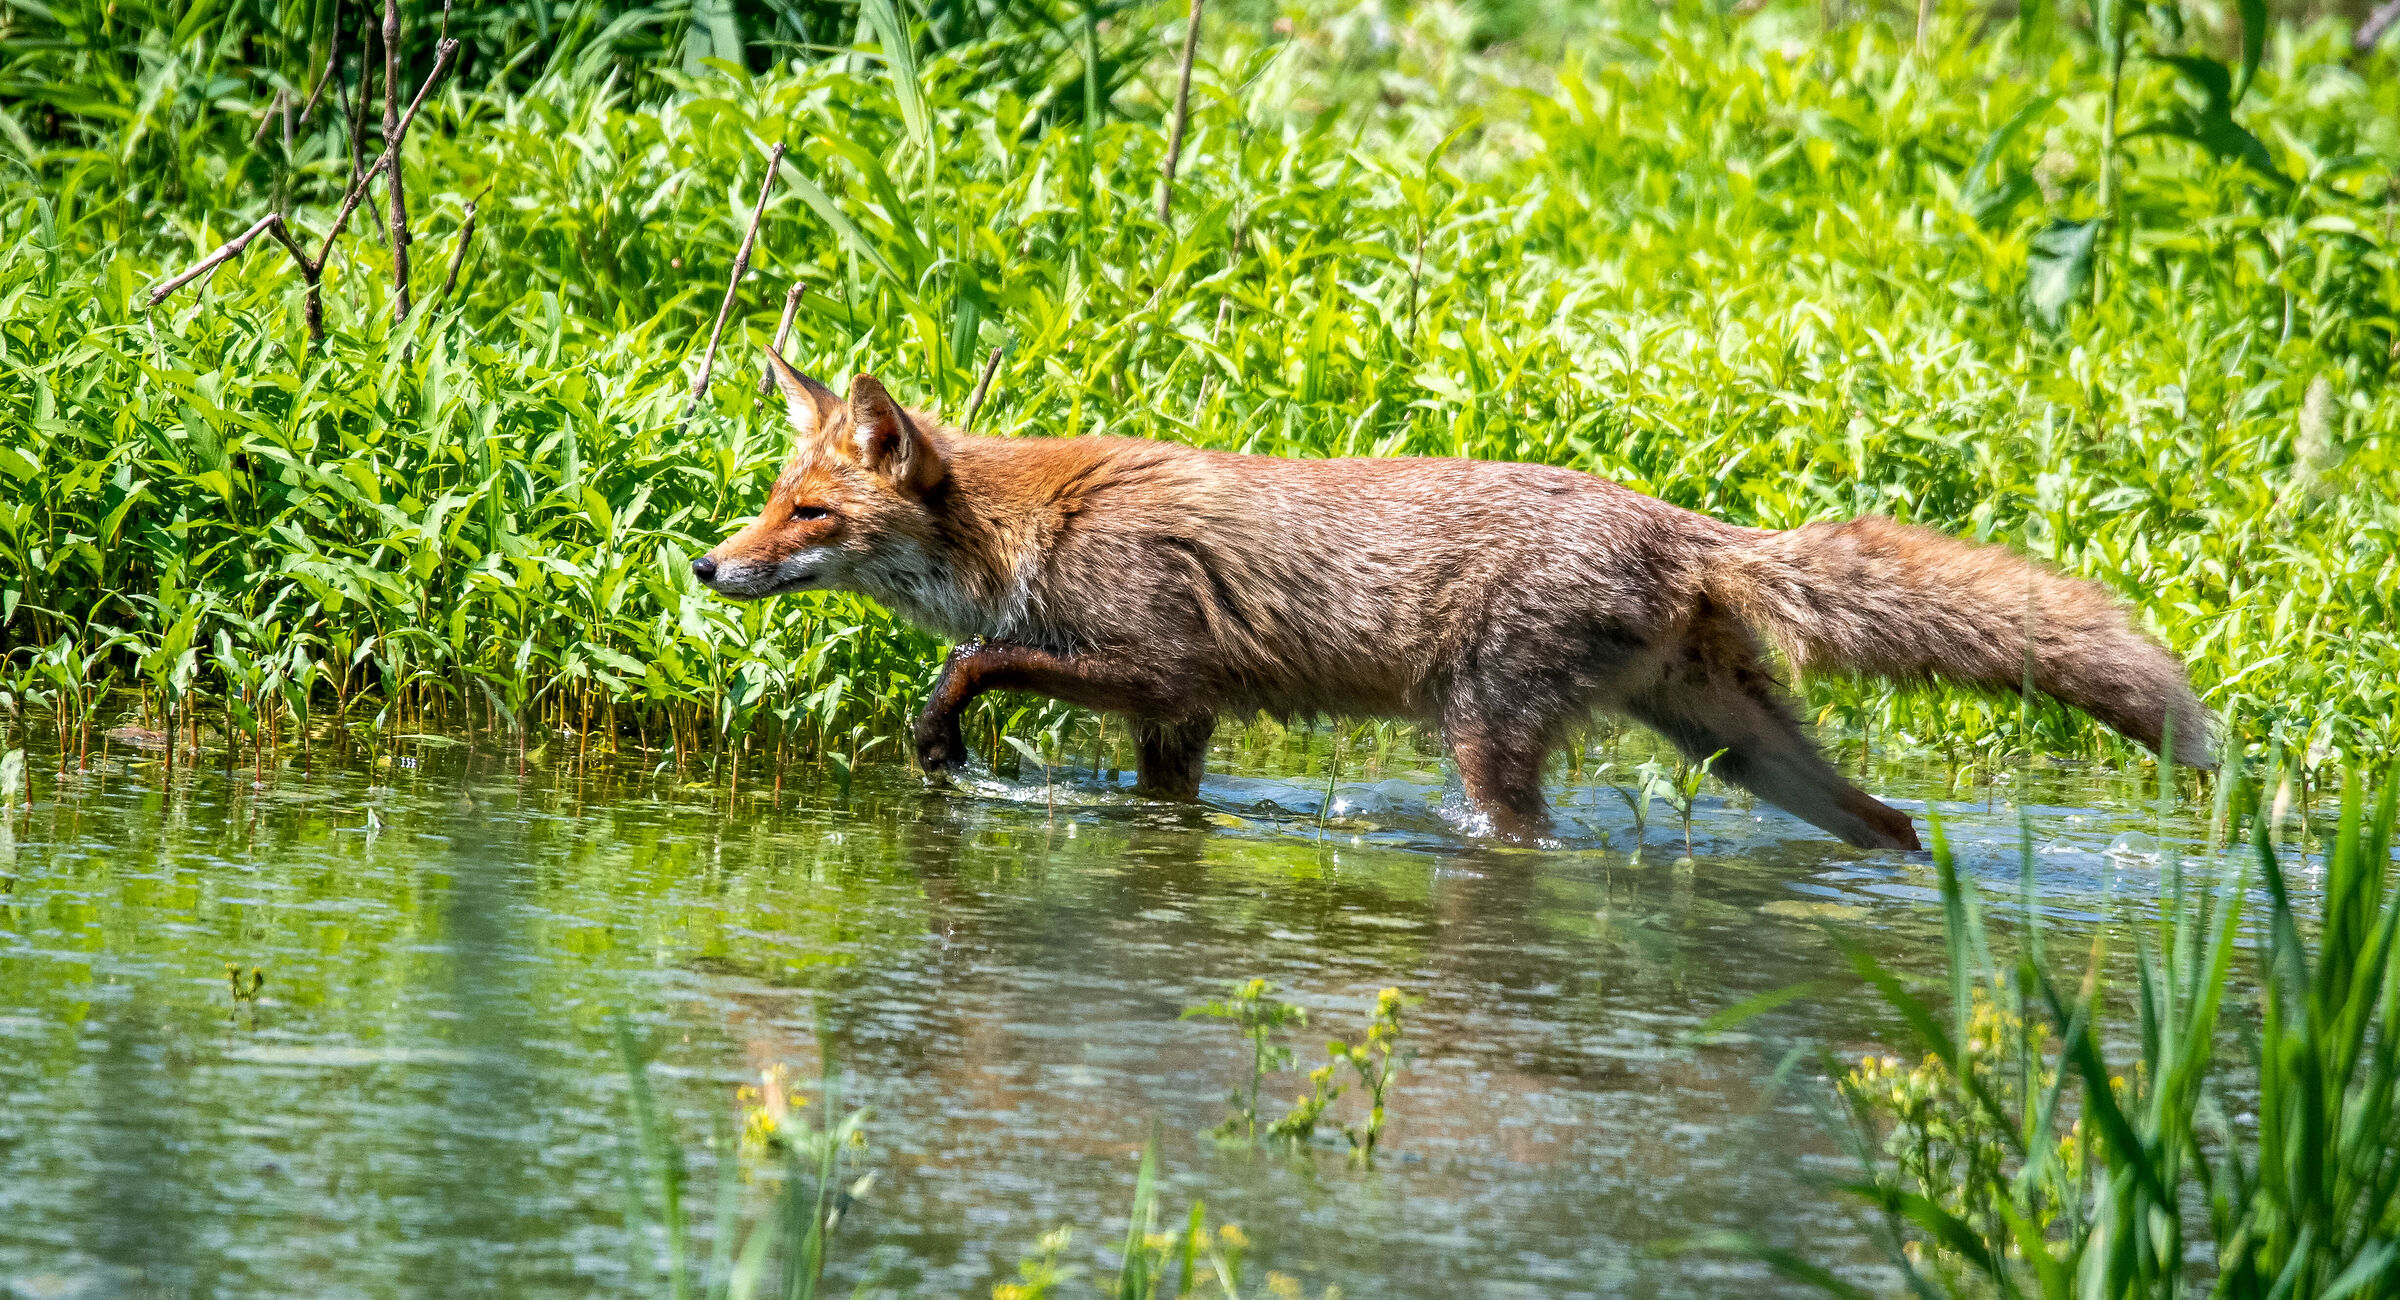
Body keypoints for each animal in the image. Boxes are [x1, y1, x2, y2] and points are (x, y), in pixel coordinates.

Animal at [693, 350, 2213, 850]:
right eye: (771, 502)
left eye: (808, 517)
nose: (707, 568)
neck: (1030, 530)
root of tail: (1686, 525)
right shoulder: (1180, 731)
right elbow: (1160, 807)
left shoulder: (1162, 671)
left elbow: (973, 670)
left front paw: (940, 737)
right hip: (1736, 747)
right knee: (1889, 823)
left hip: (1488, 741)